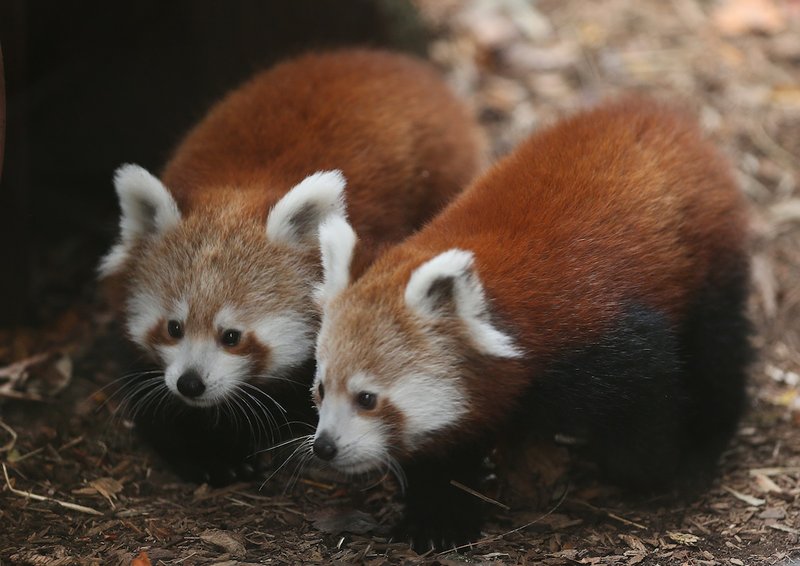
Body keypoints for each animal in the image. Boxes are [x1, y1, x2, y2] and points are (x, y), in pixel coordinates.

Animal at [101, 48, 488, 486]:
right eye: (173, 327)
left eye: (232, 336)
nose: (190, 383)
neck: (237, 188)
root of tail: (398, 61)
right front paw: (210, 455)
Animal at [310, 97, 752, 552]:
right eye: (321, 389)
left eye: (367, 398)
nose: (324, 447)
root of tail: (657, 112)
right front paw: (438, 518)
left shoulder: (605, 338)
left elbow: (648, 406)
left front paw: (655, 470)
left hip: (708, 259)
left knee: (716, 350)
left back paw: (703, 443)